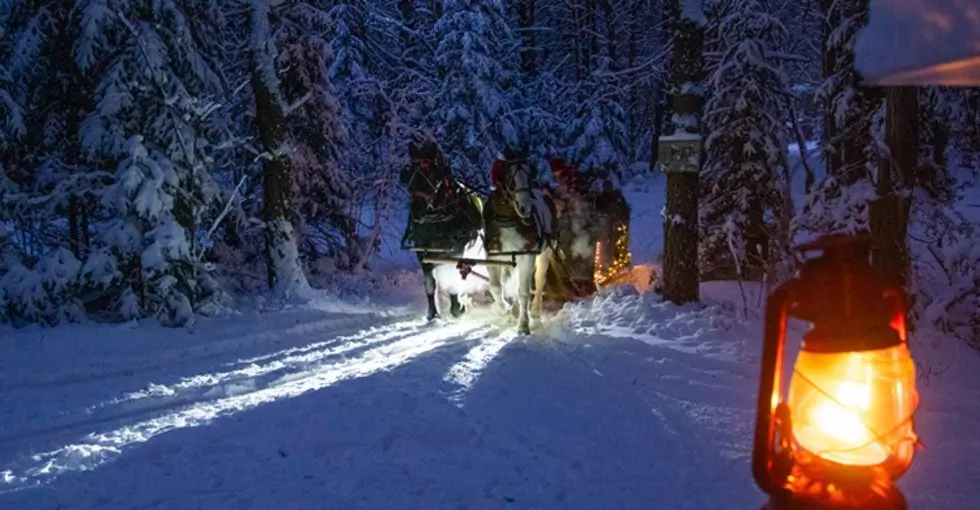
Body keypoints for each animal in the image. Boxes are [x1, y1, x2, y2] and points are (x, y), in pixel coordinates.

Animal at [484, 151, 556, 334]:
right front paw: (505, 312)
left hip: (544, 254)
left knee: (539, 281)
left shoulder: (527, 255)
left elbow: (523, 291)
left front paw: (523, 324)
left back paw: (535, 313)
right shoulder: (494, 256)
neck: (508, 221)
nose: (526, 208)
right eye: (509, 178)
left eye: (529, 177)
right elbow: (495, 287)